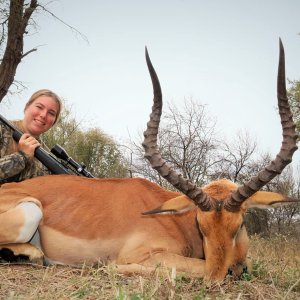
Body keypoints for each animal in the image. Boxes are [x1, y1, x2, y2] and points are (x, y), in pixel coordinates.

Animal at [0, 39, 298, 282]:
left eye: (239, 226)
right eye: (200, 226)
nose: (216, 279)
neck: (176, 223)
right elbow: (191, 267)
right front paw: (112, 268)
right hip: (31, 210)